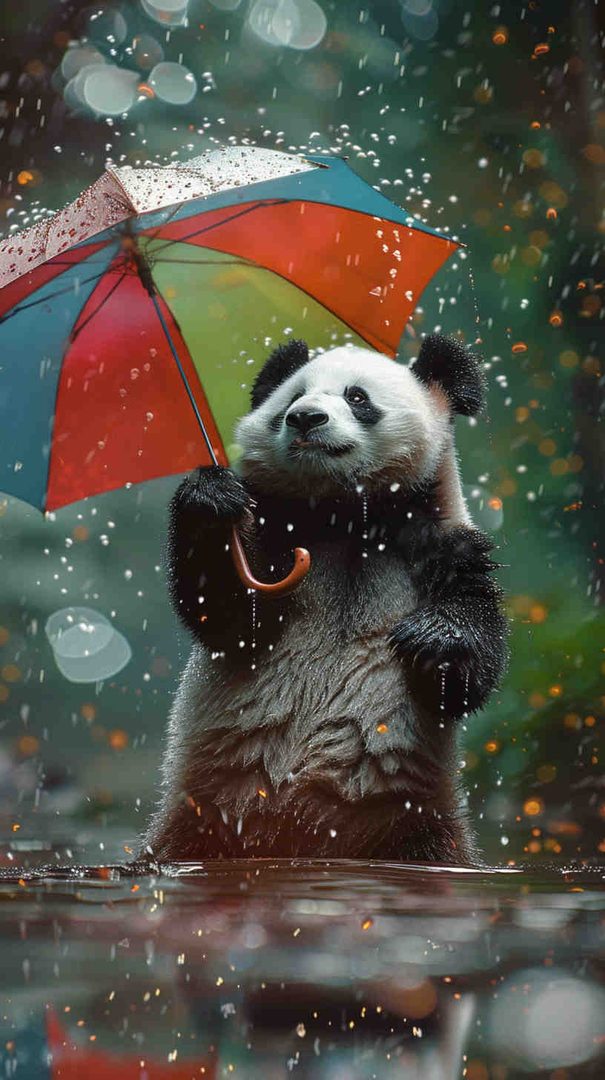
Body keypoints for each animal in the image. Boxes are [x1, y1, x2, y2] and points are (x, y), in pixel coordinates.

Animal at [143, 334, 508, 865]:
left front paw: (434, 640)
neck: (347, 515)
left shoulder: (441, 544)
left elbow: (471, 666)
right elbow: (230, 618)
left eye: (357, 397)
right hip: (200, 822)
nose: (305, 418)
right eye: (293, 398)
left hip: (413, 826)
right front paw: (210, 498)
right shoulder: (276, 533)